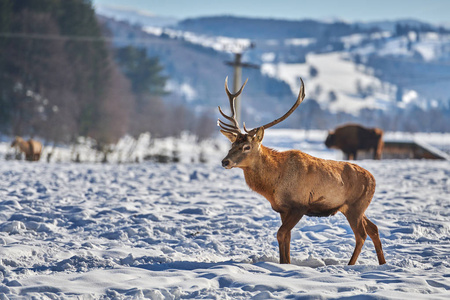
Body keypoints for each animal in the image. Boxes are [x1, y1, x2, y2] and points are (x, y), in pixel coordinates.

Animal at [218, 78, 384, 264]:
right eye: (232, 144)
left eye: (246, 146)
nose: (225, 161)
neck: (273, 186)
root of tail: (373, 180)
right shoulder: (283, 209)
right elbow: (287, 237)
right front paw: (286, 263)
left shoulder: (300, 205)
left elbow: (281, 233)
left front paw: (284, 264)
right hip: (354, 208)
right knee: (374, 229)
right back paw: (383, 264)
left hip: (356, 206)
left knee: (361, 235)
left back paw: (350, 265)